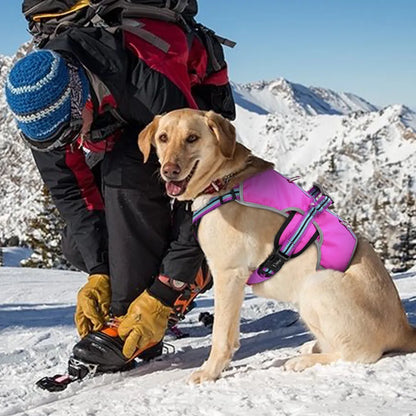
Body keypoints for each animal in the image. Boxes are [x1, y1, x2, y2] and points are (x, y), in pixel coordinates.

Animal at [139, 108, 416, 384]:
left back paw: (303, 361)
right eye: (163, 138)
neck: (223, 180)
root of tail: (405, 329)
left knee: (358, 353)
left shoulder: (228, 274)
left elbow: (221, 335)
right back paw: (312, 346)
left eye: (192, 138)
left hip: (316, 284)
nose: (169, 170)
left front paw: (210, 371)